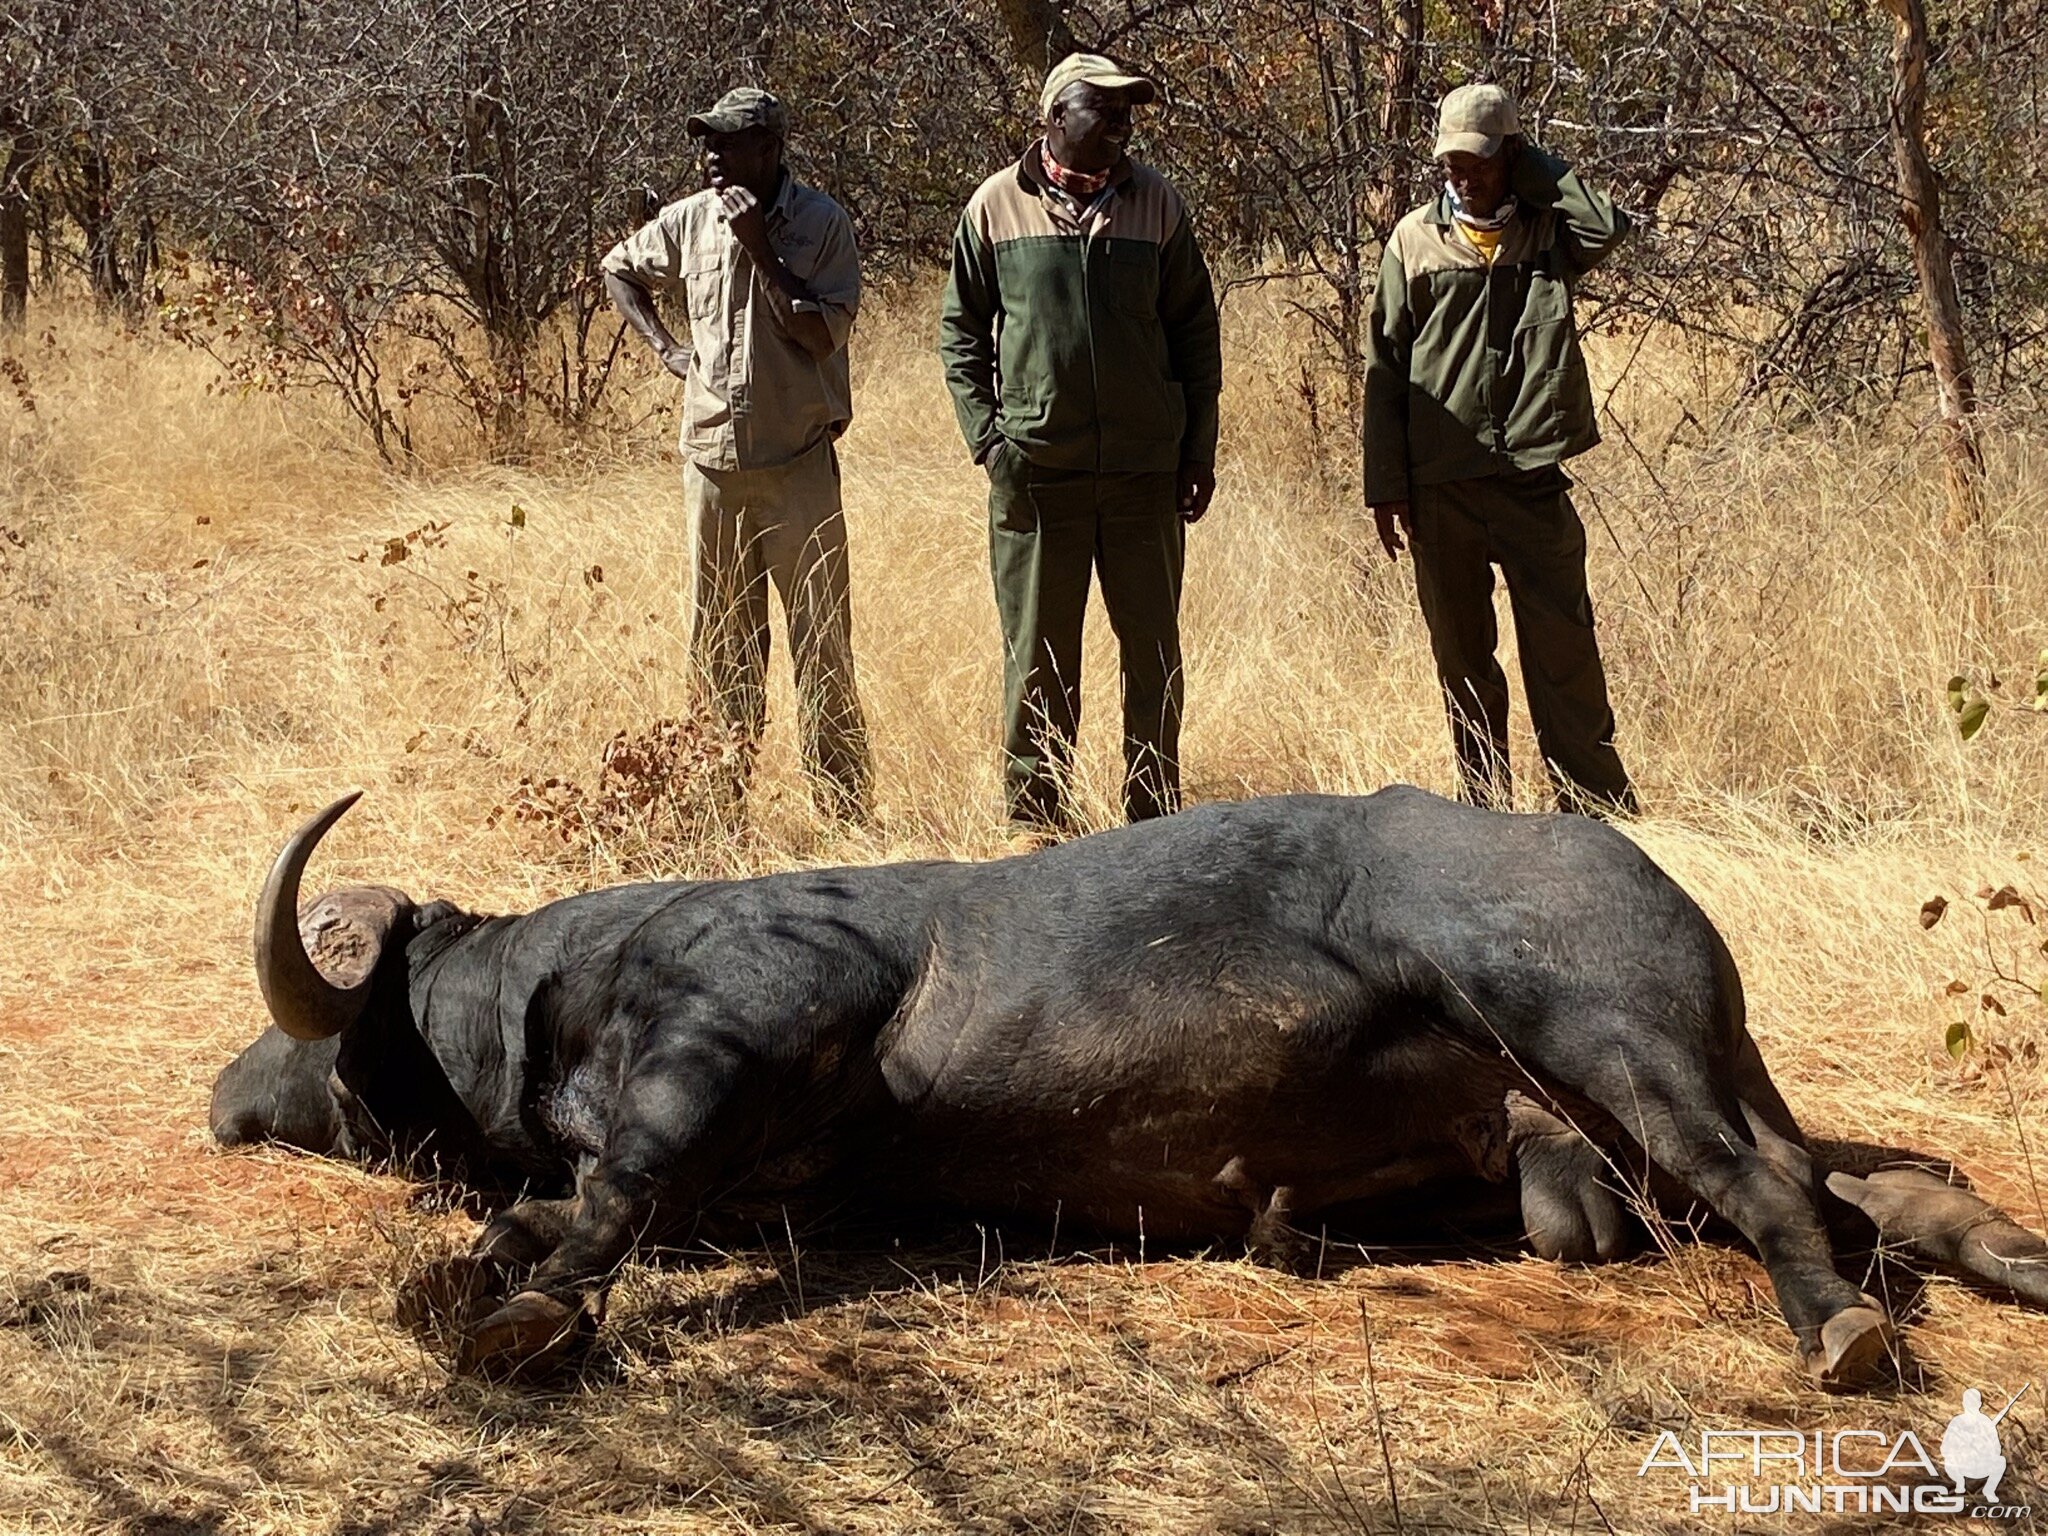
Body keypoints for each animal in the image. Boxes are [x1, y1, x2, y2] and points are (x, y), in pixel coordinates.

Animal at [211, 794, 2048, 1384]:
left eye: (325, 1011)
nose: (228, 1101)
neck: (564, 988)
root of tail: (1626, 866)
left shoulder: (742, 1029)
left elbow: (606, 1195)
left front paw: (521, 1308)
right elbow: (560, 1214)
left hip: (1598, 1041)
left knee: (1779, 1197)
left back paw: (1839, 1328)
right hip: (1630, 1109)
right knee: (1863, 1177)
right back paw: (1998, 1254)